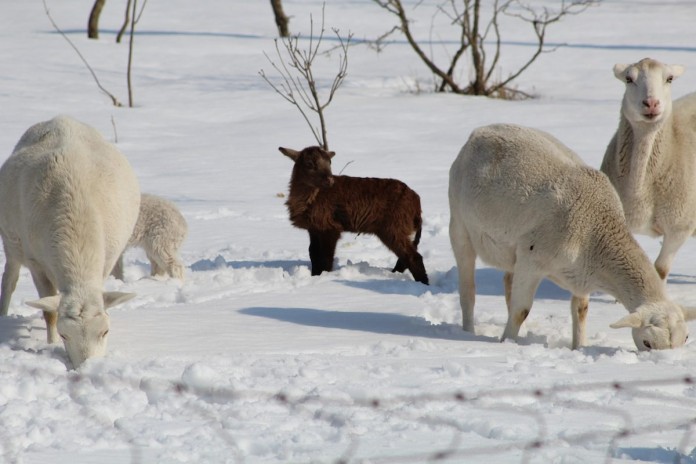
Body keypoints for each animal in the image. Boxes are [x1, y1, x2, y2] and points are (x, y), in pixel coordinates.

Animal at [0, 115, 141, 368]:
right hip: (12, 242)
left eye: (105, 332)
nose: (87, 366)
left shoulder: (107, 260)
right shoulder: (36, 262)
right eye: (65, 335)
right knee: (9, 280)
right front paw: (51, 344)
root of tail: (61, 119)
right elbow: (50, 313)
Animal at [279, 145, 429, 285]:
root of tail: (417, 204)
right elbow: (313, 253)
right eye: (309, 163)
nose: (330, 180)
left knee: (413, 256)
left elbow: (325, 257)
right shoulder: (314, 228)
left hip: (394, 227)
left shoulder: (330, 227)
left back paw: (423, 283)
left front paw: (324, 276)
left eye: (329, 163)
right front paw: (314, 275)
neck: (312, 197)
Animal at [448, 123, 696, 350]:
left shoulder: (581, 275)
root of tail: (481, 131)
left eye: (685, 339)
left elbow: (581, 310)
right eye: (647, 343)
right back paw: (468, 331)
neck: (598, 229)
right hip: (459, 224)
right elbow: (521, 310)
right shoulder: (532, 259)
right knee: (468, 290)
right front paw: (506, 342)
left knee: (507, 282)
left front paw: (579, 347)